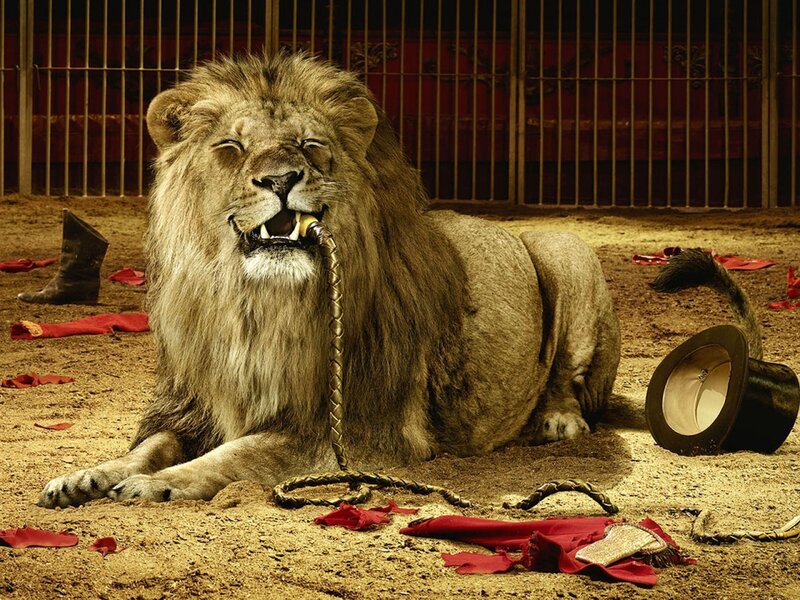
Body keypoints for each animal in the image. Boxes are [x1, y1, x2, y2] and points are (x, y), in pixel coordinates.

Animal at [39, 53, 620, 508]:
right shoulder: (191, 404)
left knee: (569, 377)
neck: (255, 306)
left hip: (565, 249)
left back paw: (558, 422)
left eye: (310, 144)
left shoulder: (356, 431)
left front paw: (158, 484)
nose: (280, 179)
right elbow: (148, 447)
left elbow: (238, 455)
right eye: (231, 147)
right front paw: (88, 476)